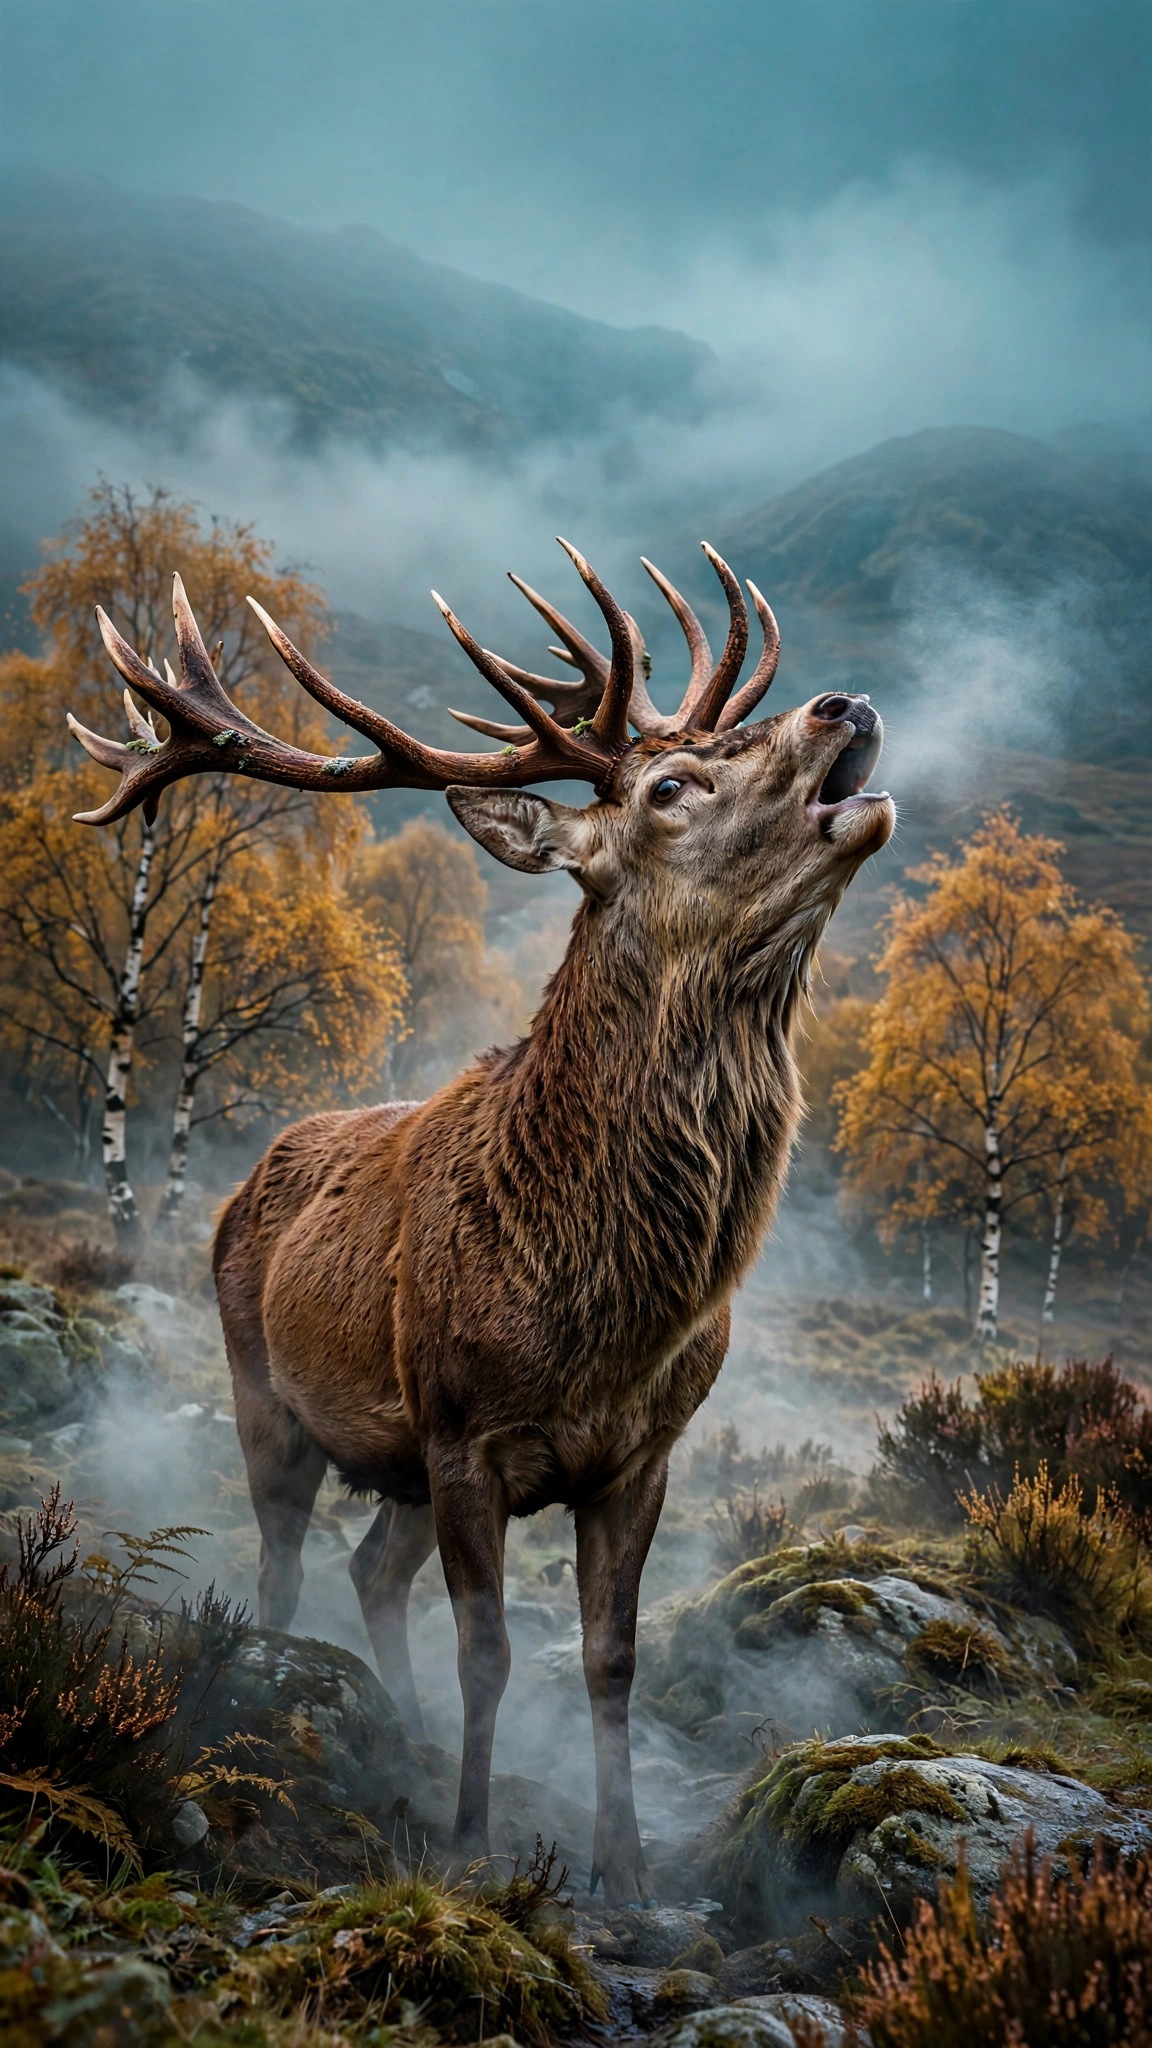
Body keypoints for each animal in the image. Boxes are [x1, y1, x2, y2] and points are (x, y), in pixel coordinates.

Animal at [70, 536, 894, 1904]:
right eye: (670, 784)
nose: (846, 702)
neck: (605, 1314)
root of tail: (249, 1179)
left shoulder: (640, 1454)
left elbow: (610, 1659)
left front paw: (629, 1872)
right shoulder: (463, 1433)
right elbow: (491, 1652)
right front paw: (470, 1846)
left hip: (396, 1463)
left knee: (366, 1569)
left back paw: (397, 1739)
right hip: (265, 1391)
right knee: (284, 1569)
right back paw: (290, 1704)